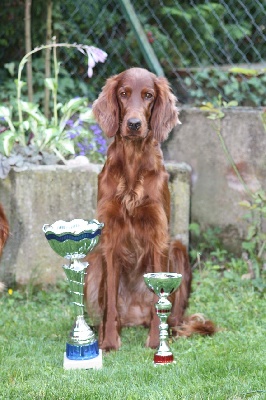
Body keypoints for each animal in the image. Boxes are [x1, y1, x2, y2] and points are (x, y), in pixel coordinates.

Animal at [84, 66, 215, 350]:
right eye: (123, 94)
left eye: (148, 95)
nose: (134, 124)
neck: (133, 163)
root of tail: (135, 316)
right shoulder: (109, 236)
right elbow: (109, 301)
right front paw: (108, 341)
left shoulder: (159, 235)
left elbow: (159, 300)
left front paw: (157, 341)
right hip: (94, 261)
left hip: (178, 250)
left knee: (172, 315)